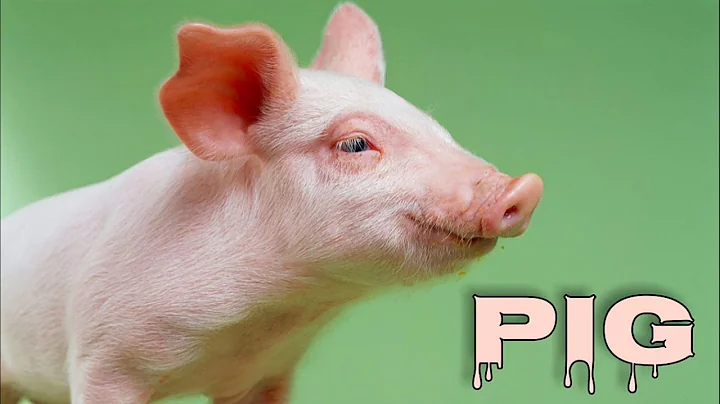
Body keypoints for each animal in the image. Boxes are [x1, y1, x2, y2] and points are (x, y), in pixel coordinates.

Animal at [0, 3, 544, 404]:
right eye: (355, 144)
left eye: (437, 127)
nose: (526, 186)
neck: (264, 318)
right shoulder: (103, 357)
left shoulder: (264, 372)